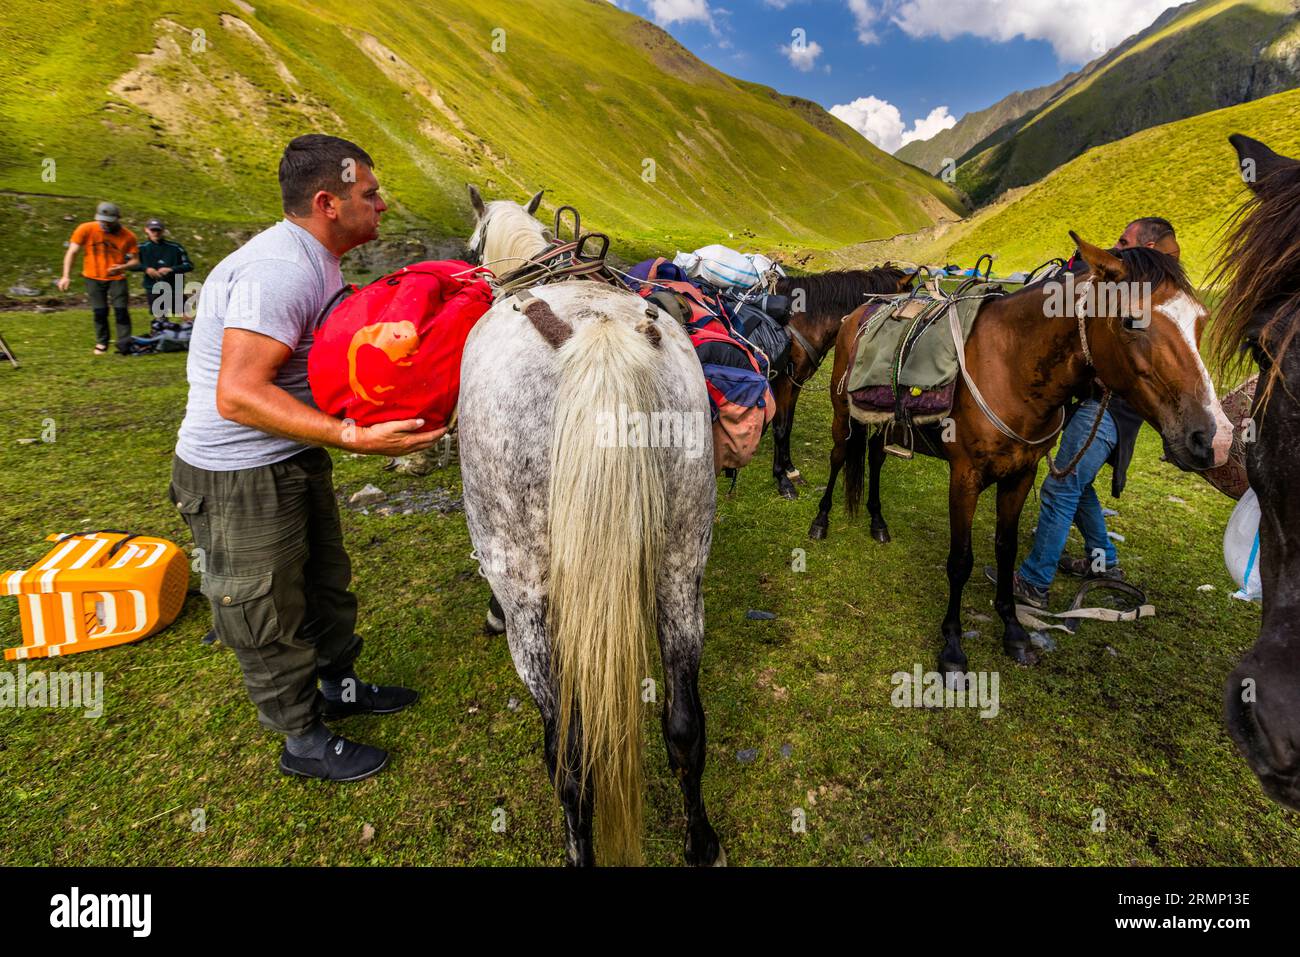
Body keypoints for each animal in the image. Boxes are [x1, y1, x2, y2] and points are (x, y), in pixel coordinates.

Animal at [457, 187, 728, 868]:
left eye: (472, 247)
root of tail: (597, 339)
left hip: (532, 599)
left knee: (569, 761)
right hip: (681, 566)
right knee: (685, 727)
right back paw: (702, 841)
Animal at [769, 263, 915, 496]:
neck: (802, 319)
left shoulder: (796, 383)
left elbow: (788, 425)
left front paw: (790, 469)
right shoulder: (783, 381)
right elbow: (780, 428)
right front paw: (782, 479)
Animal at [811, 234, 1227, 676]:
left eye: (1201, 320)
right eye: (1132, 321)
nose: (1213, 439)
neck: (1012, 369)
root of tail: (861, 310)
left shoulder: (1020, 475)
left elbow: (1006, 550)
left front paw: (1014, 631)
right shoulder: (965, 477)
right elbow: (960, 560)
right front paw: (953, 646)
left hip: (884, 422)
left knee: (874, 458)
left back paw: (878, 522)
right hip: (842, 414)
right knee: (839, 457)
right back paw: (820, 521)